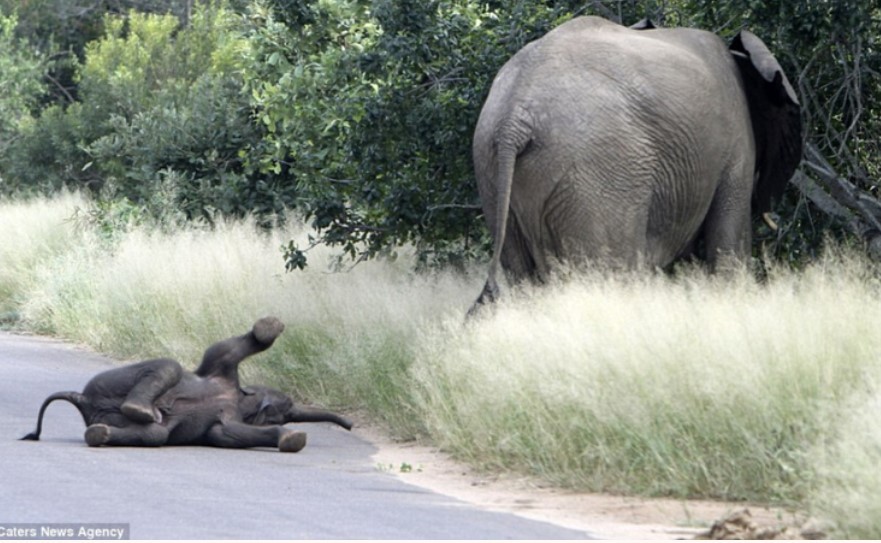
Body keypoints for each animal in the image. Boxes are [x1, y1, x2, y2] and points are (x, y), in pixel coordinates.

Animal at [20, 316, 350, 452]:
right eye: (289, 407)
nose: (349, 426)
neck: (239, 397)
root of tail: (82, 400)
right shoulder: (220, 363)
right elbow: (228, 348)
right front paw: (270, 327)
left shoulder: (223, 426)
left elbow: (231, 432)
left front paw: (293, 439)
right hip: (105, 382)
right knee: (170, 366)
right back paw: (142, 409)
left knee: (155, 434)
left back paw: (101, 432)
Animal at [470, 15, 800, 310]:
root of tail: (514, 117)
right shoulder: (736, 144)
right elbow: (729, 243)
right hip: (599, 175)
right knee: (613, 271)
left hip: (491, 171)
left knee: (522, 274)